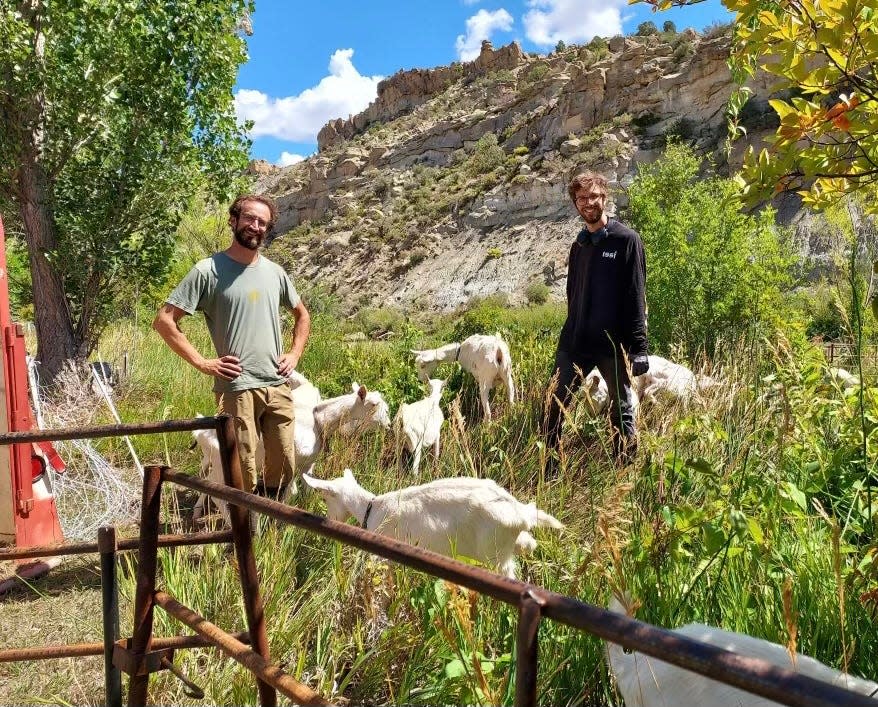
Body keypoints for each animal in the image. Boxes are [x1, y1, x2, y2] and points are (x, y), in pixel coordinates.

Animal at [302, 468, 564, 580]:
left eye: (325, 497)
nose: (332, 519)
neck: (371, 506)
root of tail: (519, 511)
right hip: (507, 544)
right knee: (528, 544)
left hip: (495, 554)